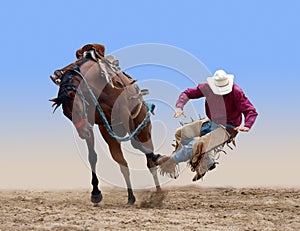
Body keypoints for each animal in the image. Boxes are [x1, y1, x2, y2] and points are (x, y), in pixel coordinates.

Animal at [49, 44, 162, 204]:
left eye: (77, 108)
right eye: (66, 114)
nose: (83, 133)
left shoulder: (123, 111)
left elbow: (137, 144)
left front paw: (158, 157)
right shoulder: (90, 123)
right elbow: (92, 156)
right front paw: (96, 193)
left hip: (143, 129)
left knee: (148, 160)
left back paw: (158, 192)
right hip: (110, 136)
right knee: (123, 164)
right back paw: (131, 197)